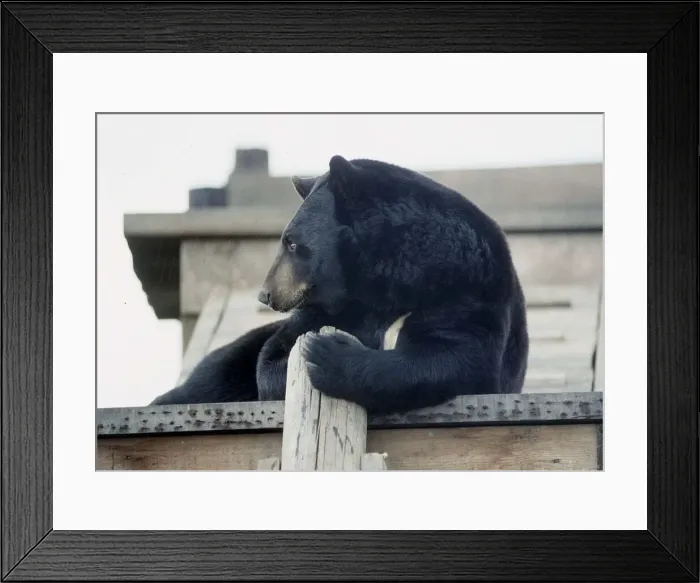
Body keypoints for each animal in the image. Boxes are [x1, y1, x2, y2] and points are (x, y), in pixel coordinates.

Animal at [150, 155, 529, 414]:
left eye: (291, 243)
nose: (265, 294)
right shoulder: (335, 303)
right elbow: (274, 356)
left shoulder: (468, 278)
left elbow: (456, 353)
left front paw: (328, 355)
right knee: (214, 374)